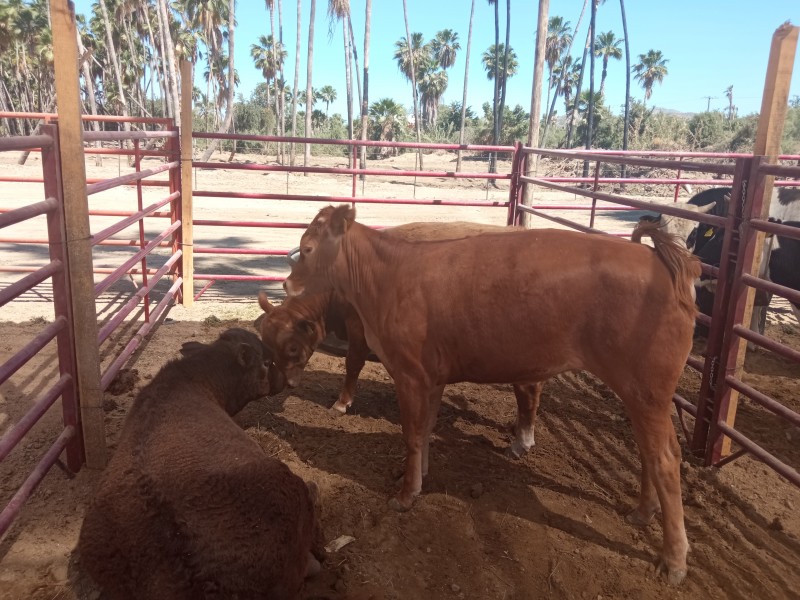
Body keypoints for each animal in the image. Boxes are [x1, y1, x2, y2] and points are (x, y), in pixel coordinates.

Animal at [286, 204, 700, 584]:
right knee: (649, 453)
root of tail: (656, 260)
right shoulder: (432, 378)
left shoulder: (410, 375)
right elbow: (424, 432)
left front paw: (405, 496)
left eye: (307, 248)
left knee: (665, 459)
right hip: (641, 395)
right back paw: (642, 512)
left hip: (647, 391)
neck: (386, 277)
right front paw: (419, 478)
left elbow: (411, 435)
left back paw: (674, 560)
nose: (288, 283)